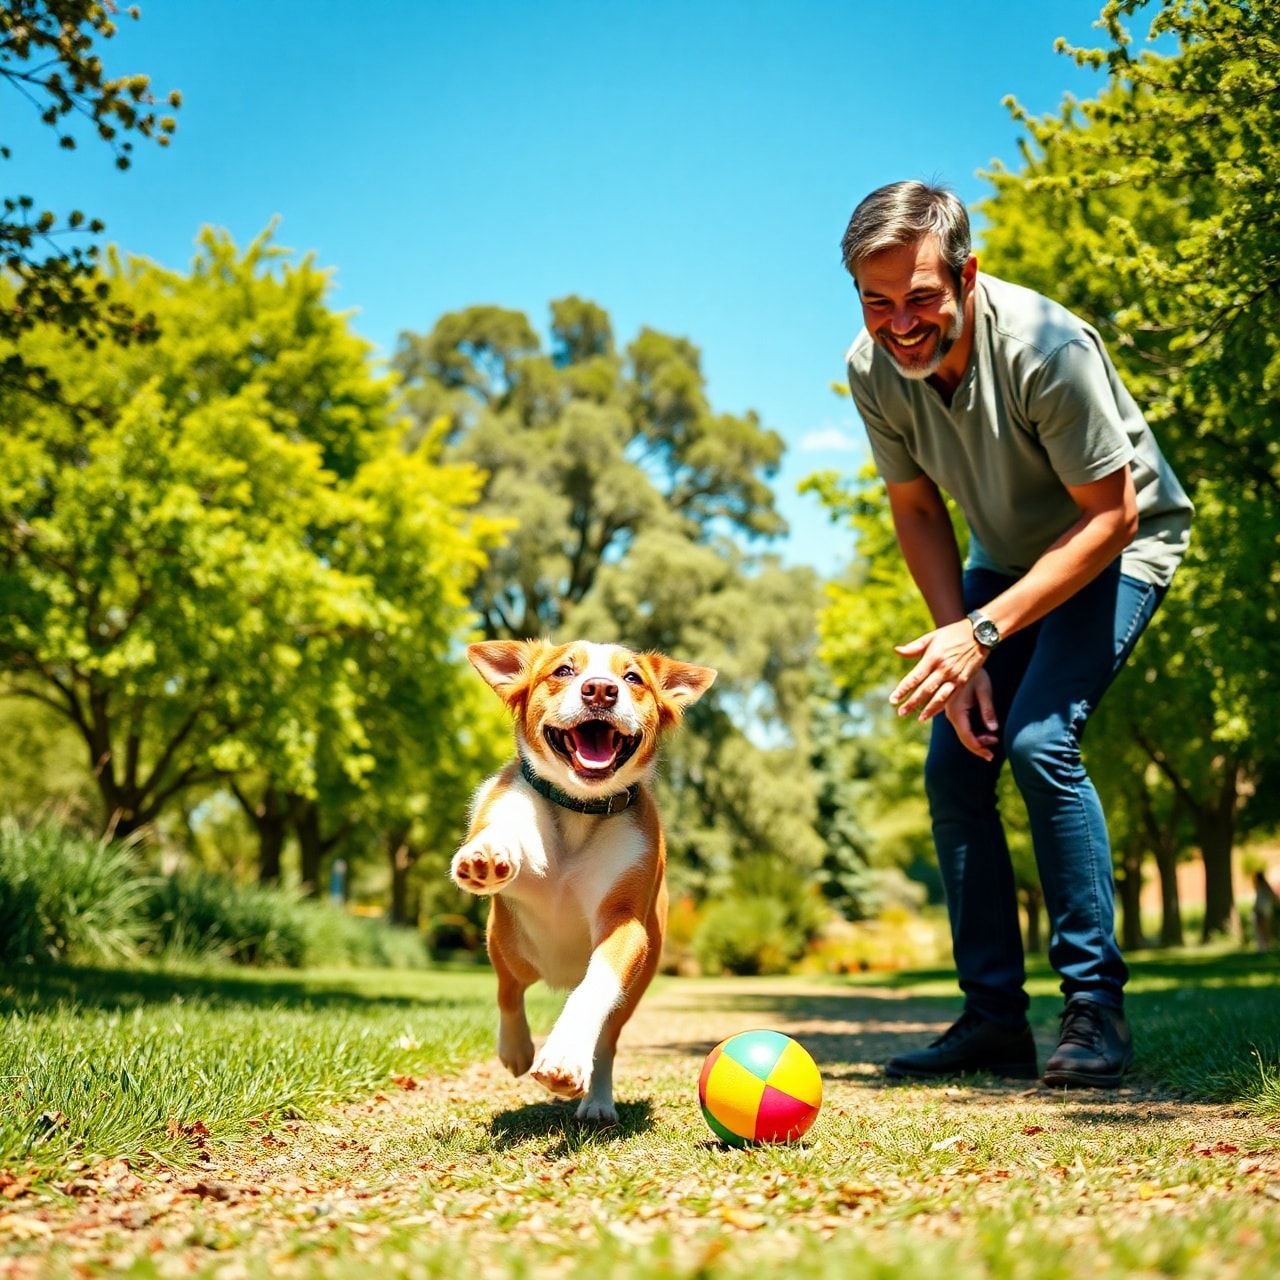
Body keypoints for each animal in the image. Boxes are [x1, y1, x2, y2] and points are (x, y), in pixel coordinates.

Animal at [450, 640, 716, 1121]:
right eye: (564, 671)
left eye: (632, 678)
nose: (600, 690)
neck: (578, 808)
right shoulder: (511, 806)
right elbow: (507, 829)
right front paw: (488, 853)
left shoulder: (624, 925)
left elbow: (595, 989)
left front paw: (565, 1055)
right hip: (508, 945)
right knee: (508, 989)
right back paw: (516, 1048)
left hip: (633, 986)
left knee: (605, 1039)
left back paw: (597, 1100)